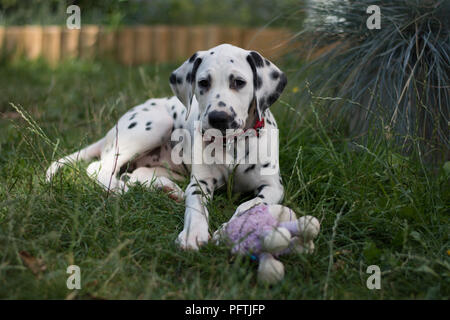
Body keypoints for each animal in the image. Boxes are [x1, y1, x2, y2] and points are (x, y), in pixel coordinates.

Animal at [47, 43, 286, 251]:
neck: (232, 145)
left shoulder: (274, 187)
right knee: (99, 168)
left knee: (133, 173)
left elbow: (251, 205)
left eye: (238, 82)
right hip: (155, 124)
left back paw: (167, 189)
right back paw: (120, 188)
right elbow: (196, 207)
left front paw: (233, 229)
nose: (218, 118)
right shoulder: (199, 183)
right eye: (203, 83)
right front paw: (192, 234)